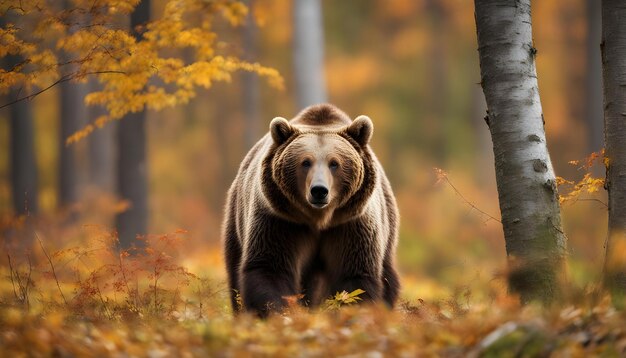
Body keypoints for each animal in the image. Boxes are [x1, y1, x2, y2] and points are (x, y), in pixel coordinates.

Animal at [222, 103, 398, 316]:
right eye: (305, 162)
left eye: (334, 163)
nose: (319, 190)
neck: (319, 219)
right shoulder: (279, 220)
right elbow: (270, 267)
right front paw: (279, 312)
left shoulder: (352, 224)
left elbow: (355, 275)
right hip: (237, 219)